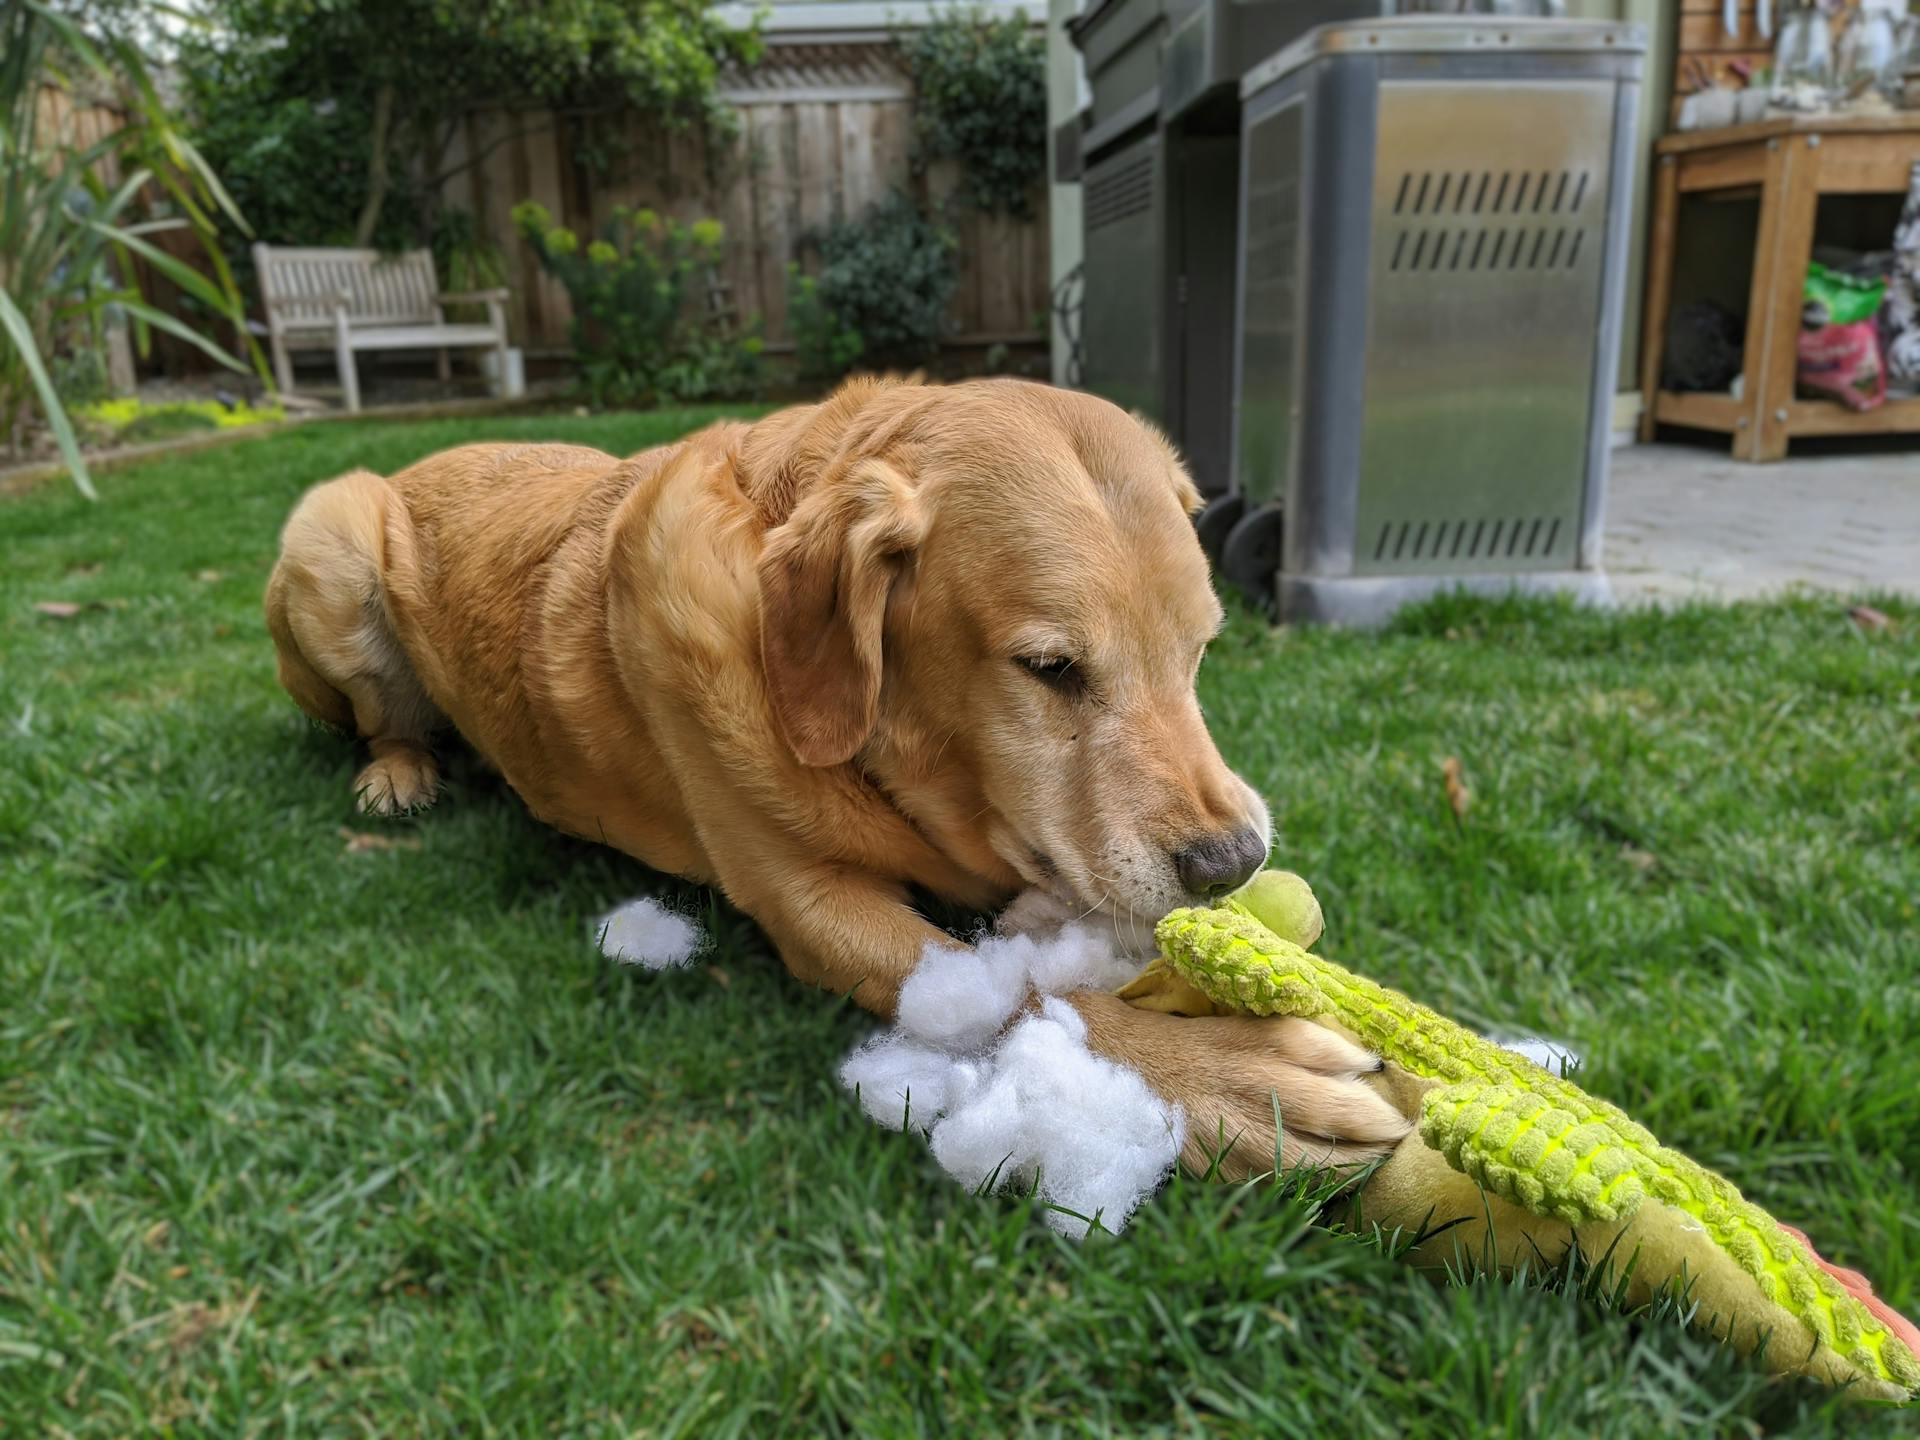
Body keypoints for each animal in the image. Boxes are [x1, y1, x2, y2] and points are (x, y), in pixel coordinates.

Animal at [266, 374, 1413, 1182]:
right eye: (1049, 669)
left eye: (1201, 650)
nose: (1233, 863)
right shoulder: (809, 903)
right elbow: (1015, 987)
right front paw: (1232, 1079)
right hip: (330, 537)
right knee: (379, 722)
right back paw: (400, 773)